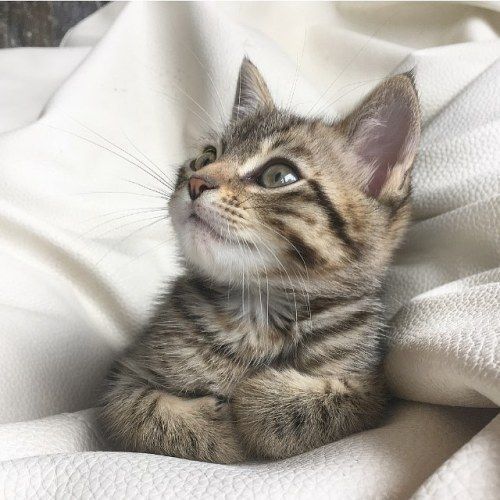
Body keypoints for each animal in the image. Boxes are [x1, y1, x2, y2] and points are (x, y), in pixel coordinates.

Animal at [99, 58, 420, 464]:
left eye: (279, 175)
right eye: (205, 158)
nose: (196, 182)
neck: (259, 310)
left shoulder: (372, 382)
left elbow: (341, 400)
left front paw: (257, 399)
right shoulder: (123, 375)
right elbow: (140, 412)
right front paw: (219, 433)